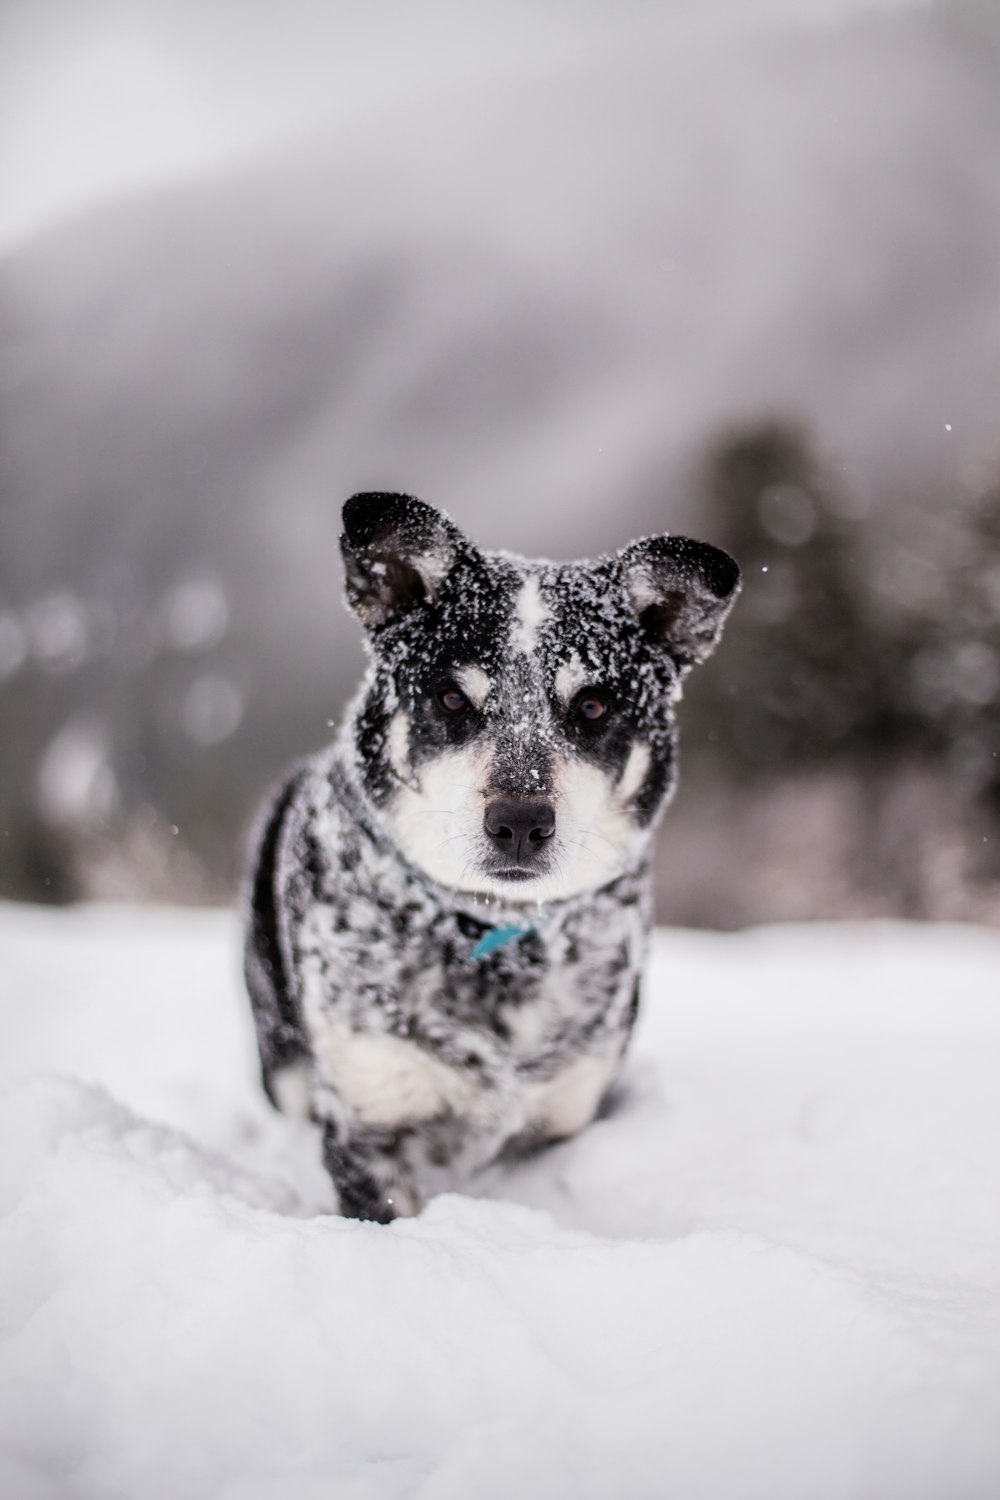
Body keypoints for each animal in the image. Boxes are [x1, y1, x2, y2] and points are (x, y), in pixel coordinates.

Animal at [245, 492, 740, 1218]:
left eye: (593, 704)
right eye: (453, 697)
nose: (520, 824)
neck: (492, 933)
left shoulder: (563, 1113)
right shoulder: (370, 1115)